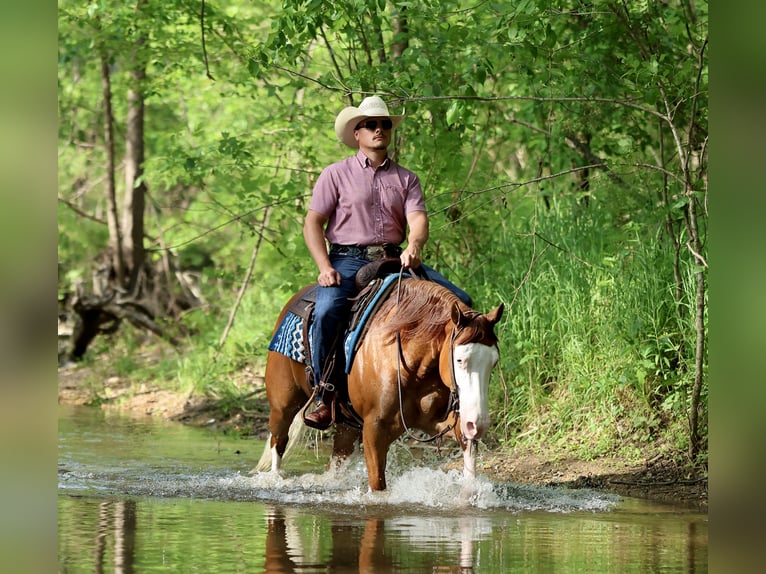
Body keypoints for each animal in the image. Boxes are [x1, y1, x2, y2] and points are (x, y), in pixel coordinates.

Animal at [254, 275, 504, 491]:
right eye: (459, 359)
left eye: (494, 362)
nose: (479, 424)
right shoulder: (375, 429)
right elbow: (377, 485)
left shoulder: (439, 421)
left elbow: (467, 451)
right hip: (283, 406)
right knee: (278, 441)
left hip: (347, 425)